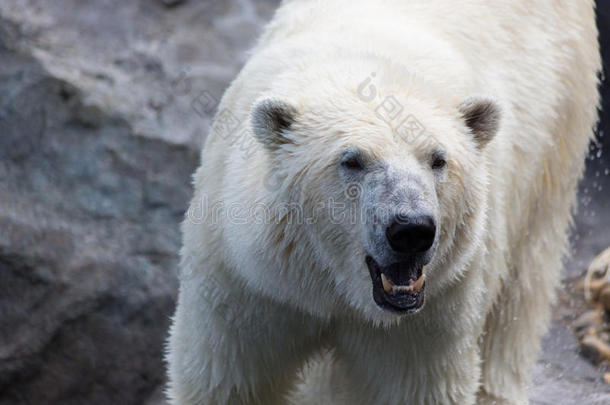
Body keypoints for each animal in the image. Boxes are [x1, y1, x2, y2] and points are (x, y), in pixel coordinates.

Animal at [166, 0, 600, 404]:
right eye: (352, 161)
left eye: (438, 159)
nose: (411, 230)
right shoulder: (251, 284)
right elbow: (230, 379)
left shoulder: (433, 311)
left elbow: (414, 384)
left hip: (557, 128)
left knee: (521, 290)